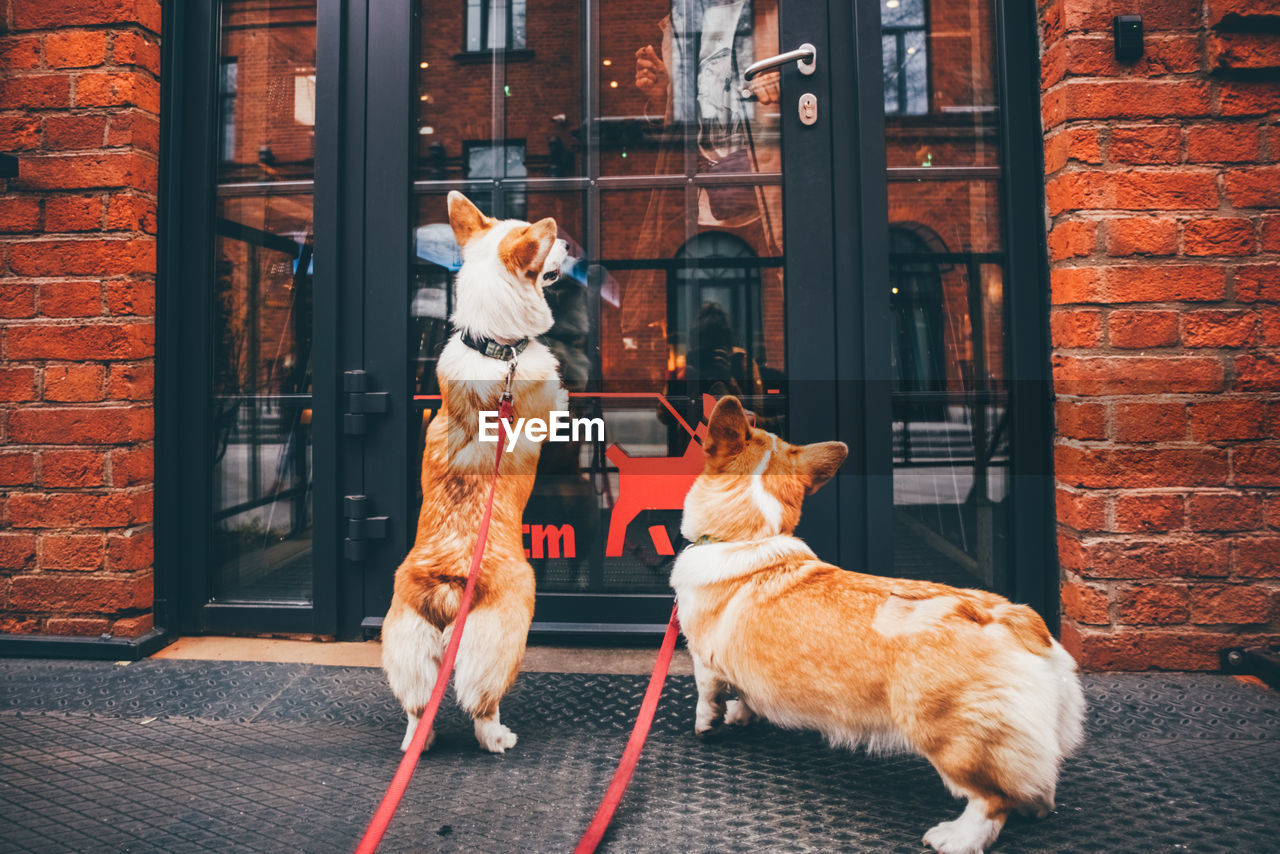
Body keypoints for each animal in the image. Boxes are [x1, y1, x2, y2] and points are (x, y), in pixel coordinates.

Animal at [378, 193, 570, 752]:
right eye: (547, 246)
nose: (570, 247)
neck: (496, 345)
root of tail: (449, 584)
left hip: (407, 646)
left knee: (419, 707)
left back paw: (417, 741)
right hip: (508, 631)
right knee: (481, 704)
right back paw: (498, 736)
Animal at [670, 399, 1080, 854]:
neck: (749, 537)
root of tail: (1015, 620)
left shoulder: (703, 659)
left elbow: (707, 694)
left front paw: (707, 725)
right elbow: (744, 693)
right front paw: (743, 715)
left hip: (950, 737)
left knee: (991, 800)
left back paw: (955, 837)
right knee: (1035, 784)